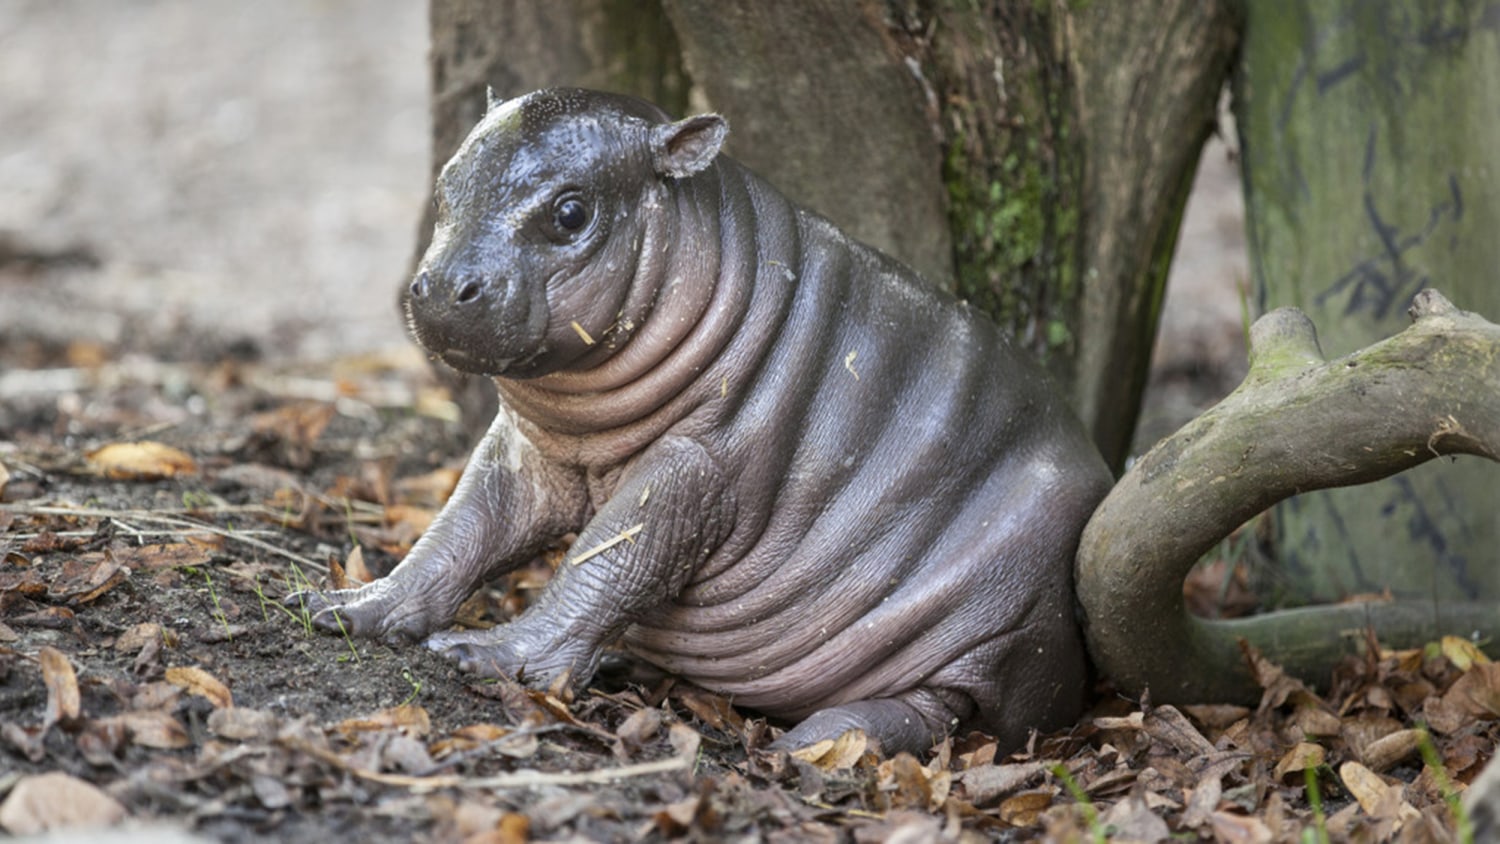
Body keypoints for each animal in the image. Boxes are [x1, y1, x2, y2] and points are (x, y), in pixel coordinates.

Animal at [293, 88, 1113, 754]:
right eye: (445, 183)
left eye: (571, 211)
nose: (439, 288)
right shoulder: (526, 449)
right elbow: (460, 530)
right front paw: (342, 607)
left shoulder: (698, 467)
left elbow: (609, 560)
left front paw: (481, 655)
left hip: (1004, 626)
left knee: (943, 711)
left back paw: (810, 746)